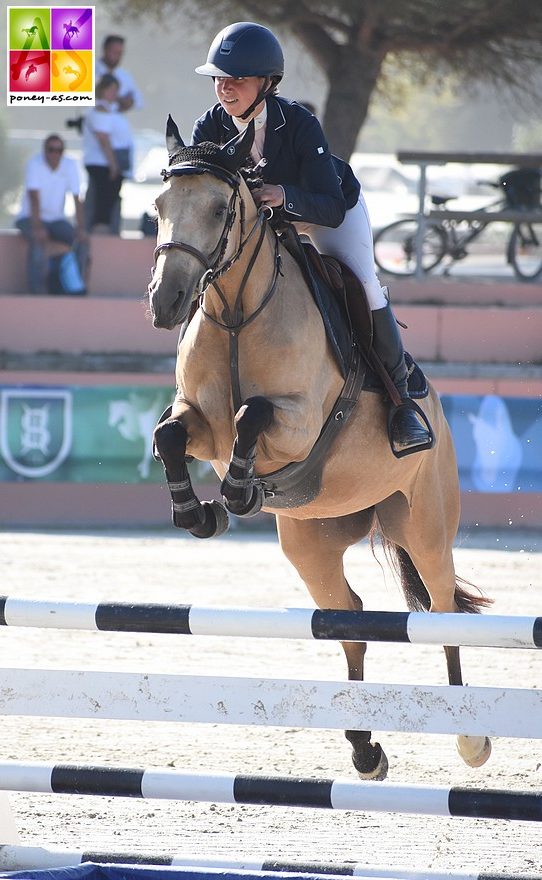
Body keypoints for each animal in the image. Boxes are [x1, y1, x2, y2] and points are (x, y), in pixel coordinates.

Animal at [148, 113, 492, 780]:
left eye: (218, 207)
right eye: (158, 207)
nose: (164, 302)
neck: (238, 311)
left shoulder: (299, 420)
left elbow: (253, 414)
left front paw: (237, 492)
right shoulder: (201, 422)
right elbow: (169, 434)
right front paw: (198, 513)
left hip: (425, 525)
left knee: (440, 609)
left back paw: (471, 739)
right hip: (311, 541)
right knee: (347, 618)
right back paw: (365, 750)